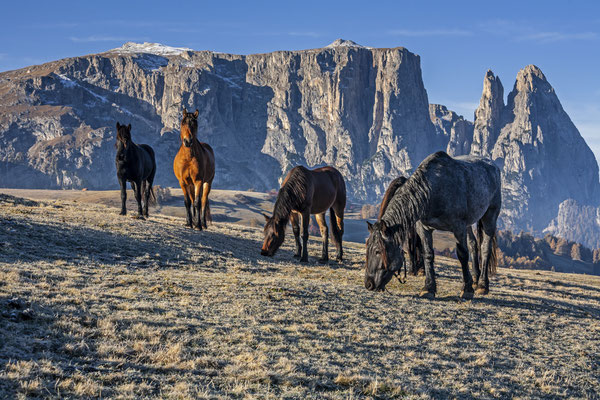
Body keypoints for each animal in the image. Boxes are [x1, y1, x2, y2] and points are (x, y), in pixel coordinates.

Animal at [366, 152, 502, 298]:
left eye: (378, 251)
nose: (368, 284)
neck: (433, 190)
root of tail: (493, 165)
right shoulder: (424, 228)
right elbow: (428, 254)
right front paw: (429, 288)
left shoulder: (458, 227)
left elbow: (462, 255)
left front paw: (466, 290)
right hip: (469, 224)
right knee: (473, 244)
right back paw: (476, 280)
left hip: (490, 216)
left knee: (485, 248)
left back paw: (482, 286)